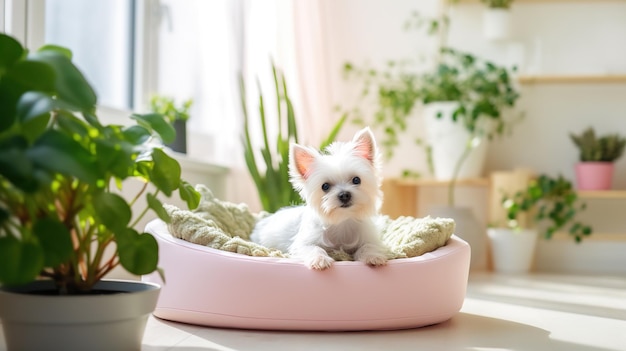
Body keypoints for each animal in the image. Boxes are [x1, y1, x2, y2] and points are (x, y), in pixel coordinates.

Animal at [247, 128, 386, 270]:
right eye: (325, 186)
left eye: (356, 180)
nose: (344, 195)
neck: (342, 221)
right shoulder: (303, 243)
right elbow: (314, 248)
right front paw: (320, 259)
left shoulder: (369, 237)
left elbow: (368, 246)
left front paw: (373, 256)